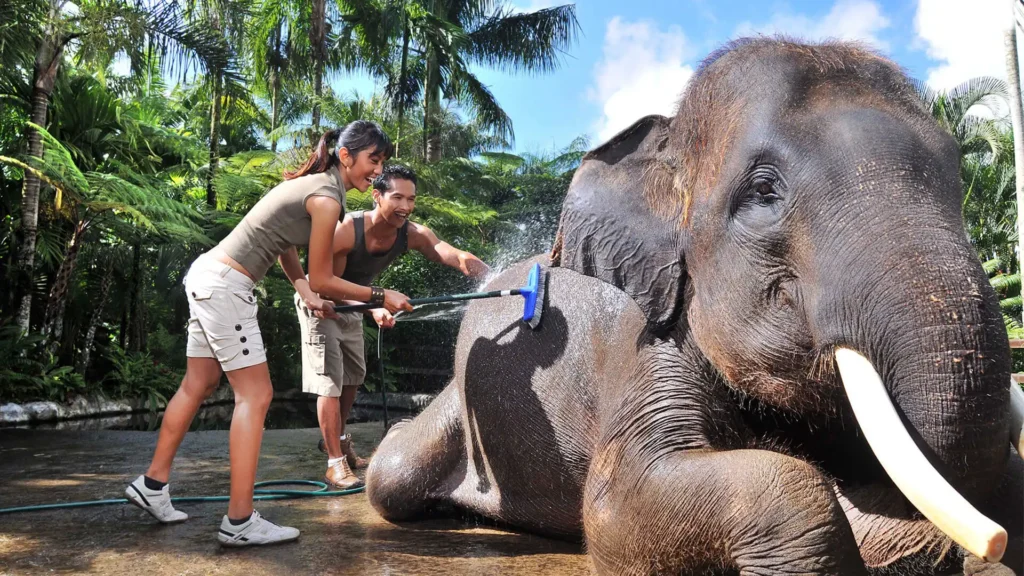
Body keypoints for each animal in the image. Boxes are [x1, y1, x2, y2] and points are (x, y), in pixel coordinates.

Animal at [366, 37, 1024, 575]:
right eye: (763, 191)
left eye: (956, 172)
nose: (989, 542)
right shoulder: (647, 341)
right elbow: (614, 504)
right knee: (391, 473)